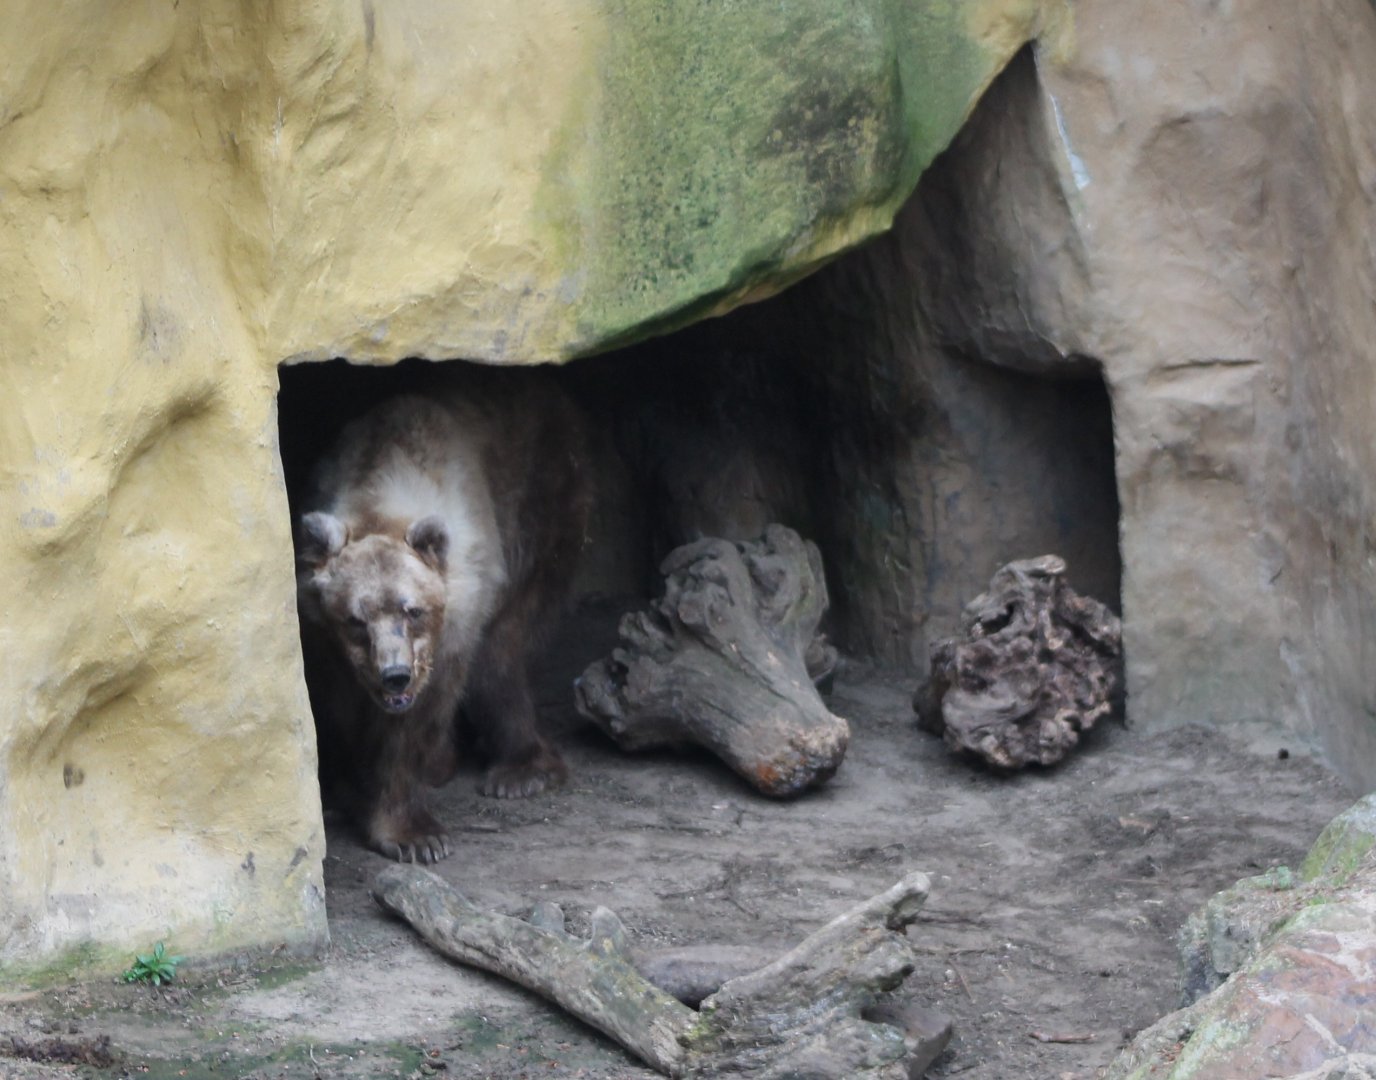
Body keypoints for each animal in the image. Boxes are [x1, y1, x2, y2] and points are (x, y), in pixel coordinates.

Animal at [294, 367, 591, 863]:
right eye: (354, 620)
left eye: (413, 610)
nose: (394, 675)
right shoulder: (321, 643)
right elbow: (337, 711)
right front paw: (346, 790)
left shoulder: (456, 620)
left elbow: (415, 723)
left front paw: (414, 834)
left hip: (545, 501)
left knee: (501, 650)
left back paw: (519, 770)